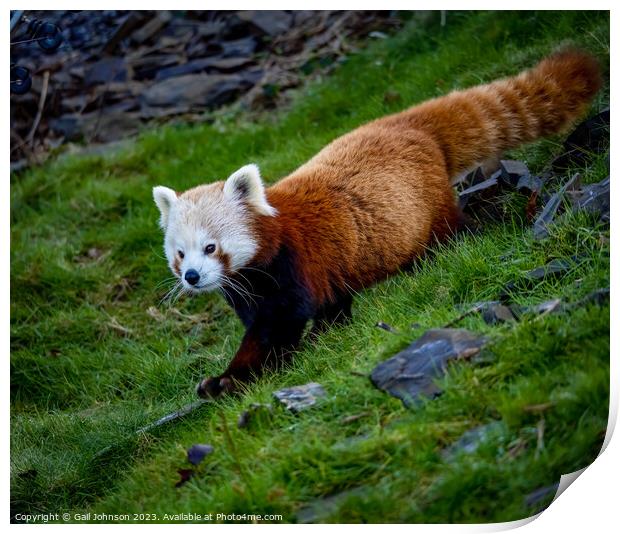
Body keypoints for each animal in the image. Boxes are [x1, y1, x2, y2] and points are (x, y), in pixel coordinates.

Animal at [153, 49, 604, 398]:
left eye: (211, 247)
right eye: (180, 255)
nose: (192, 277)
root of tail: (404, 122)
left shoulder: (291, 267)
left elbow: (277, 330)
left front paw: (233, 380)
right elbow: (311, 311)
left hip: (430, 209)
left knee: (454, 233)